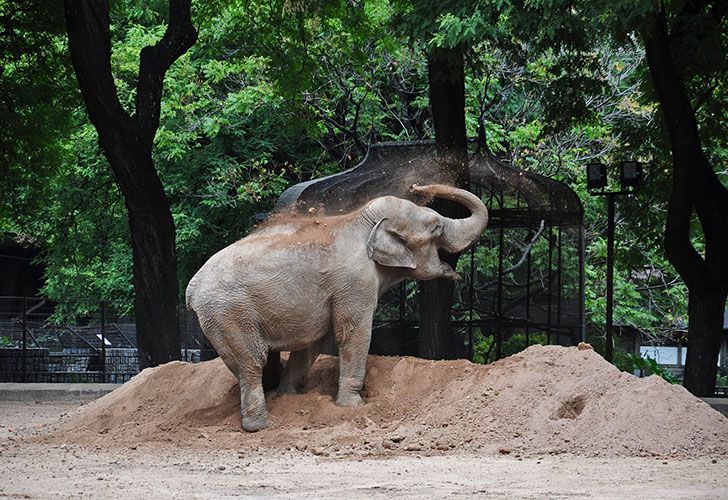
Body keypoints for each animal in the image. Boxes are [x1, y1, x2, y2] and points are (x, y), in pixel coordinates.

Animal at [186, 182, 490, 432]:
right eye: (436, 227)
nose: (416, 186)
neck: (362, 221)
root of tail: (191, 289)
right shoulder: (355, 281)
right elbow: (353, 333)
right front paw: (352, 407)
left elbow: (313, 344)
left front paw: (289, 397)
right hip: (229, 314)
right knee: (251, 362)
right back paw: (260, 426)